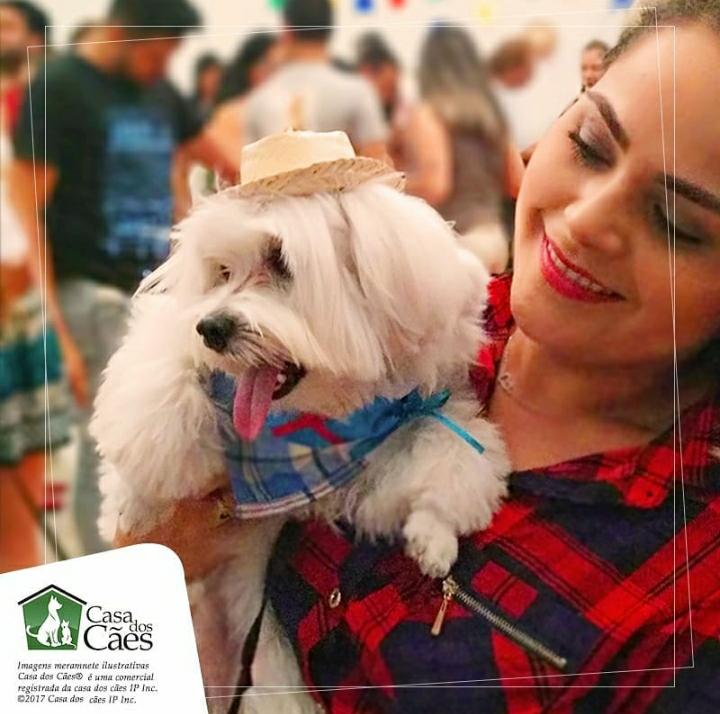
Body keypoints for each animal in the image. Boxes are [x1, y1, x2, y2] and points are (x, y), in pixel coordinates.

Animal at [92, 134, 509, 713]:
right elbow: (159, 393)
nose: (212, 328)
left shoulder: (387, 429)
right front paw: (140, 494)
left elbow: (442, 444)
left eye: (280, 260)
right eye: (221, 273)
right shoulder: (170, 353)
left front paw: (434, 535)